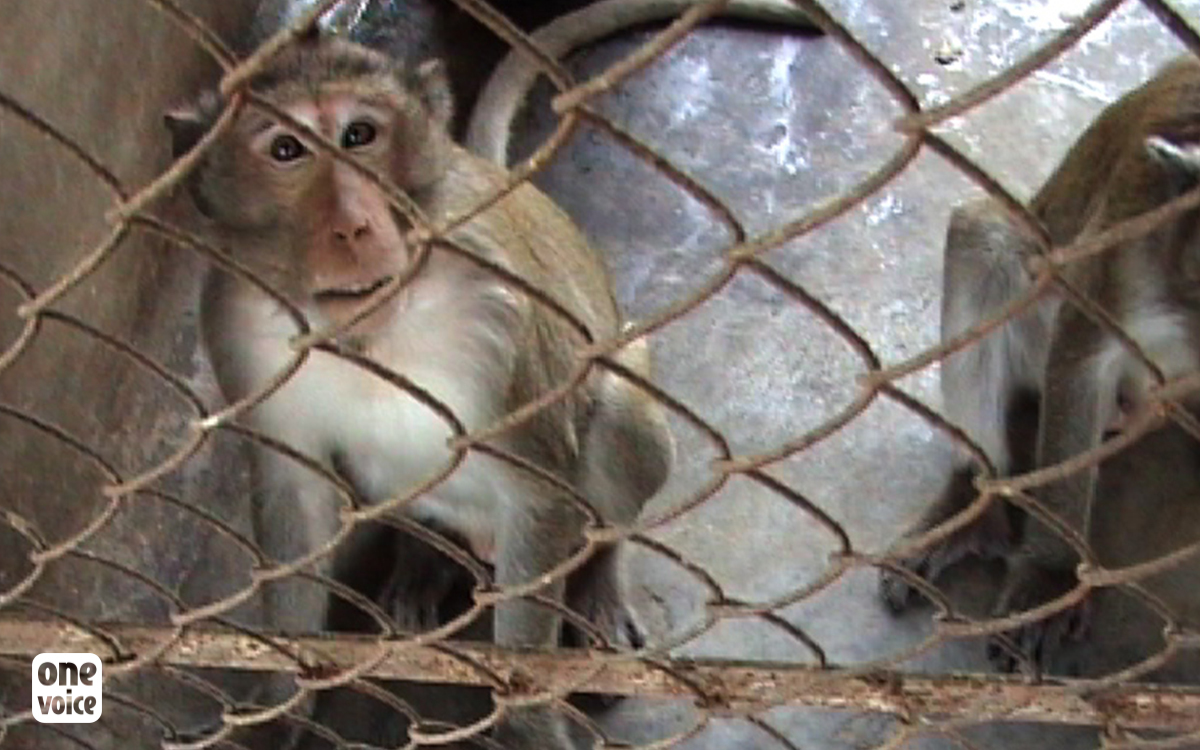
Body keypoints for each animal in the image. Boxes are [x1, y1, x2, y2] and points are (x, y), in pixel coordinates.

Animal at [165, 33, 673, 749]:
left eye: (359, 134)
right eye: (286, 149)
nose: (353, 226)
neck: (370, 329)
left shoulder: (498, 312)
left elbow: (538, 489)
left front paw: (527, 722)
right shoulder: (235, 315)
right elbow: (295, 489)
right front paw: (281, 703)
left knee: (616, 421)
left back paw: (597, 581)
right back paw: (421, 562)